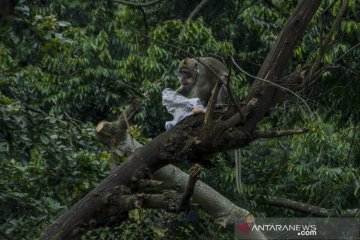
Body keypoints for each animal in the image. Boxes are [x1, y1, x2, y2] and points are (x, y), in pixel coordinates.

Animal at [175, 56, 243, 195]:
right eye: (180, 72)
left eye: (185, 72)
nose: (182, 78)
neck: (196, 71)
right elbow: (185, 90)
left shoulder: (202, 75)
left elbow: (202, 93)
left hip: (229, 97)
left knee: (223, 79)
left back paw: (220, 105)